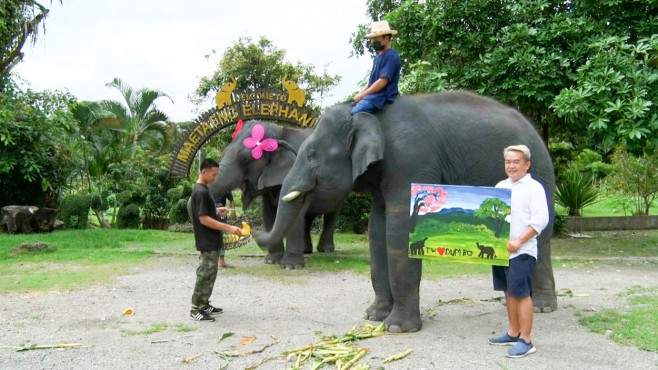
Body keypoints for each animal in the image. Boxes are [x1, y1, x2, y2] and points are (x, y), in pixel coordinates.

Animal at [208, 120, 338, 268]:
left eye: (245, 160)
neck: (279, 133)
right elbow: (268, 213)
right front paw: (271, 260)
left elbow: (295, 214)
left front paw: (291, 266)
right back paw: (306, 251)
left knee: (331, 213)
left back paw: (326, 250)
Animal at [256, 91, 552, 334]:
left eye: (312, 156)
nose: (254, 232)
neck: (369, 115)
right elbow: (377, 232)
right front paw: (374, 316)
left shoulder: (410, 162)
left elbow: (397, 234)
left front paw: (397, 328)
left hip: (540, 175)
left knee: (541, 237)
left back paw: (541, 308)